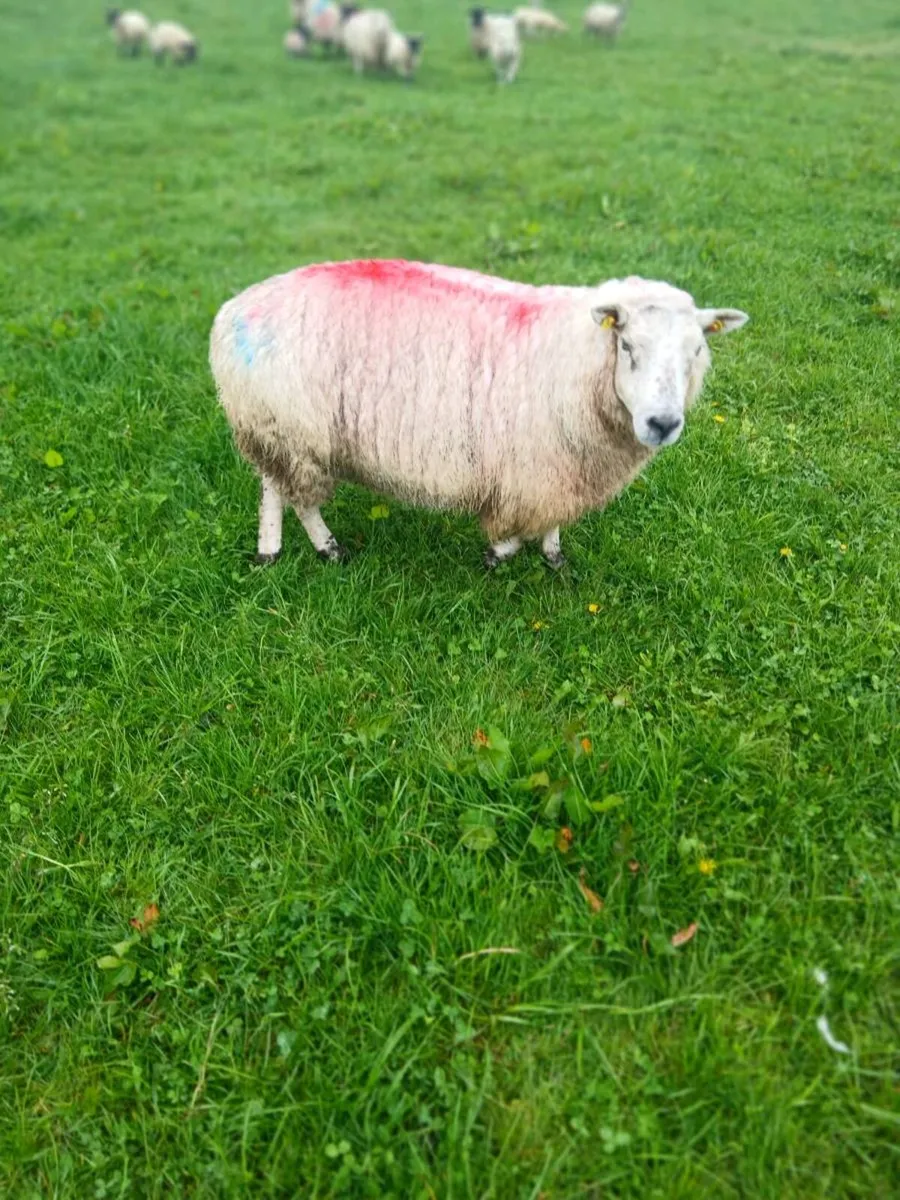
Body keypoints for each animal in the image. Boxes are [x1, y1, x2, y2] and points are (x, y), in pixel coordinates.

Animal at [209, 260, 748, 569]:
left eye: (697, 350)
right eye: (629, 346)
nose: (663, 424)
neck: (575, 355)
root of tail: (234, 308)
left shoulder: (563, 465)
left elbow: (552, 518)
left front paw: (552, 555)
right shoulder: (534, 463)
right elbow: (515, 524)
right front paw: (501, 553)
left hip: (284, 430)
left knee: (282, 489)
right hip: (285, 428)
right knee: (286, 494)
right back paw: (298, 549)